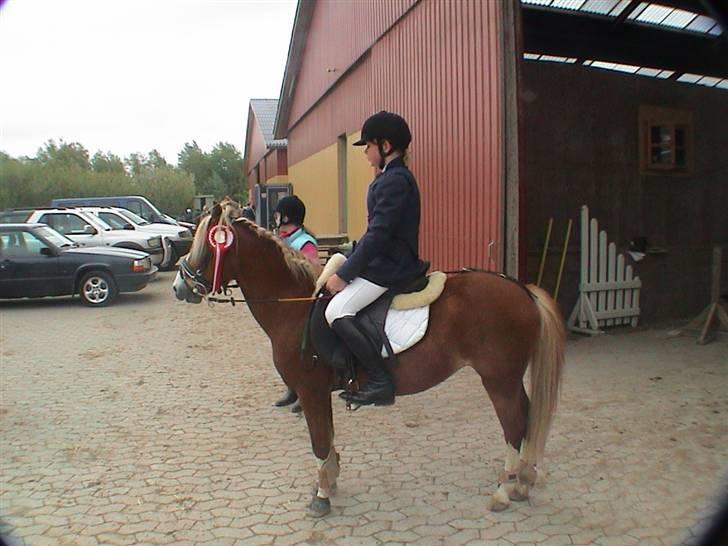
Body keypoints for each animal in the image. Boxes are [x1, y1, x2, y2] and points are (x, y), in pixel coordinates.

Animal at [173, 200, 564, 516]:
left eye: (204, 248)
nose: (179, 287)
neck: (294, 306)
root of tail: (522, 290)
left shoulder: (310, 391)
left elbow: (319, 441)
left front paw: (321, 496)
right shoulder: (319, 393)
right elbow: (328, 438)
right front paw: (330, 481)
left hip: (498, 379)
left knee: (514, 425)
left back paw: (504, 490)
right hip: (509, 379)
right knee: (527, 418)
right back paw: (523, 481)